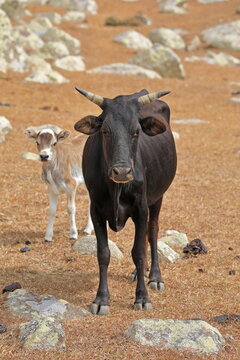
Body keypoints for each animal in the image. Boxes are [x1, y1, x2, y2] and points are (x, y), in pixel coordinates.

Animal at [74, 88, 177, 314]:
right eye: (105, 131)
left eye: (136, 131)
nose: (122, 171)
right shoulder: (96, 211)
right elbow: (103, 253)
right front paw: (101, 299)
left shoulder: (141, 208)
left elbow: (137, 252)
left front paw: (142, 298)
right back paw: (140, 273)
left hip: (157, 198)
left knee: (152, 230)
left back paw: (154, 276)